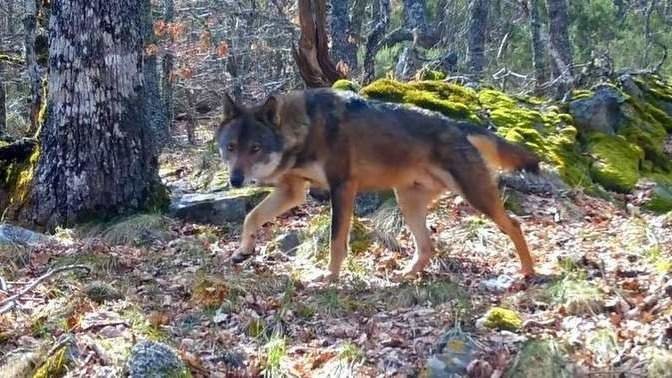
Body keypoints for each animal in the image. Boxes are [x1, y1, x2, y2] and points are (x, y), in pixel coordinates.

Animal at [215, 88, 540, 282]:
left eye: (255, 148)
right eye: (231, 147)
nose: (235, 180)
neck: (302, 132)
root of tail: (457, 124)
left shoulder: (342, 188)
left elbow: (336, 241)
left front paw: (329, 277)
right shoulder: (292, 192)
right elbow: (251, 217)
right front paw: (243, 251)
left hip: (475, 197)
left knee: (514, 225)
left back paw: (527, 273)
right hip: (407, 203)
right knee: (427, 247)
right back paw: (405, 275)